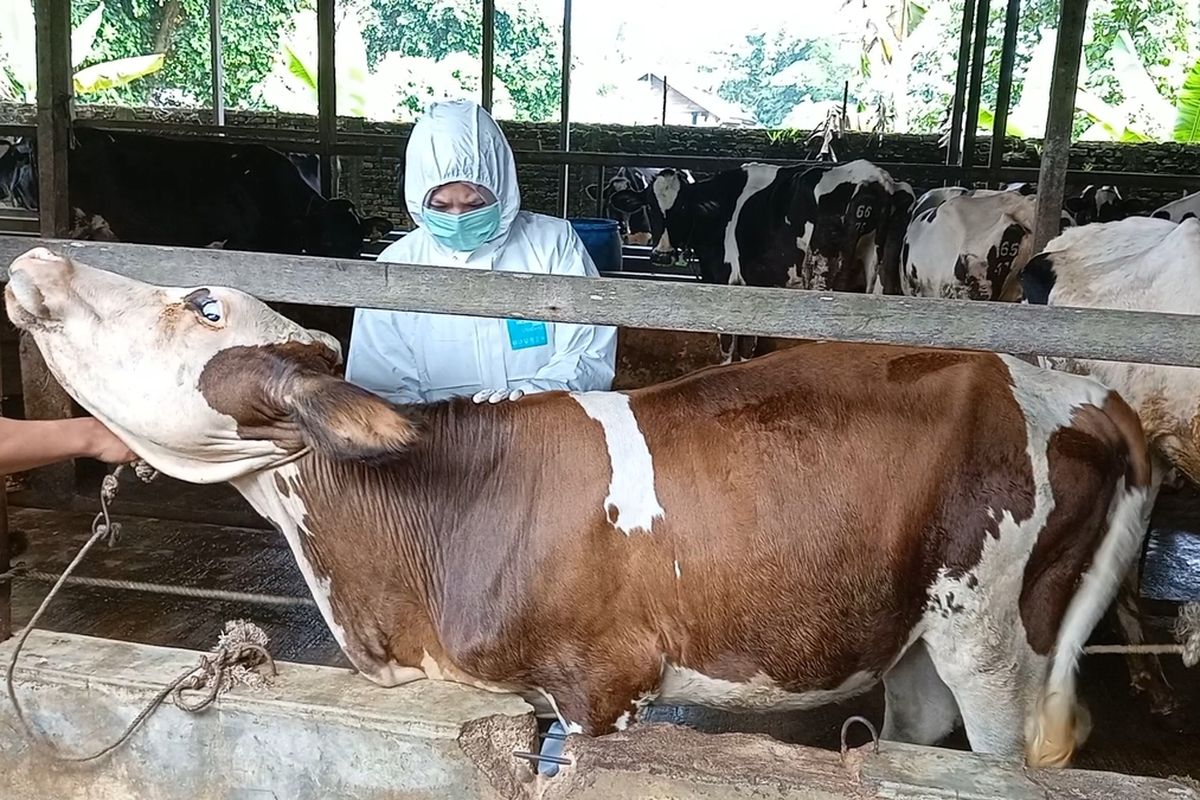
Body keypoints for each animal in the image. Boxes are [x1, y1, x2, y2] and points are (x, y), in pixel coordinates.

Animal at [604, 159, 912, 359]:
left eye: (682, 207)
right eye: (650, 206)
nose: (662, 254)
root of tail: (876, 180)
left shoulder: (726, 282)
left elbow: (728, 347)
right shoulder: (753, 287)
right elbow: (747, 346)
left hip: (824, 281)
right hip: (879, 286)